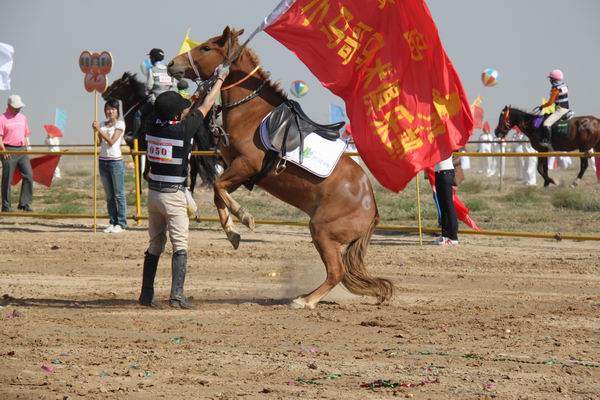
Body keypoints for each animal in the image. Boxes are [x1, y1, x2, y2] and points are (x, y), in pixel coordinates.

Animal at [168, 27, 394, 310]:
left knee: (336, 272)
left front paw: (244, 217)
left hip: (322, 231)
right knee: (337, 273)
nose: (172, 64)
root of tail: (371, 207)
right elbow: (218, 194)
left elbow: (219, 189)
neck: (253, 114)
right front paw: (232, 233)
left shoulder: (246, 165)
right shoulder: (239, 172)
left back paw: (305, 301)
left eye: (207, 48)